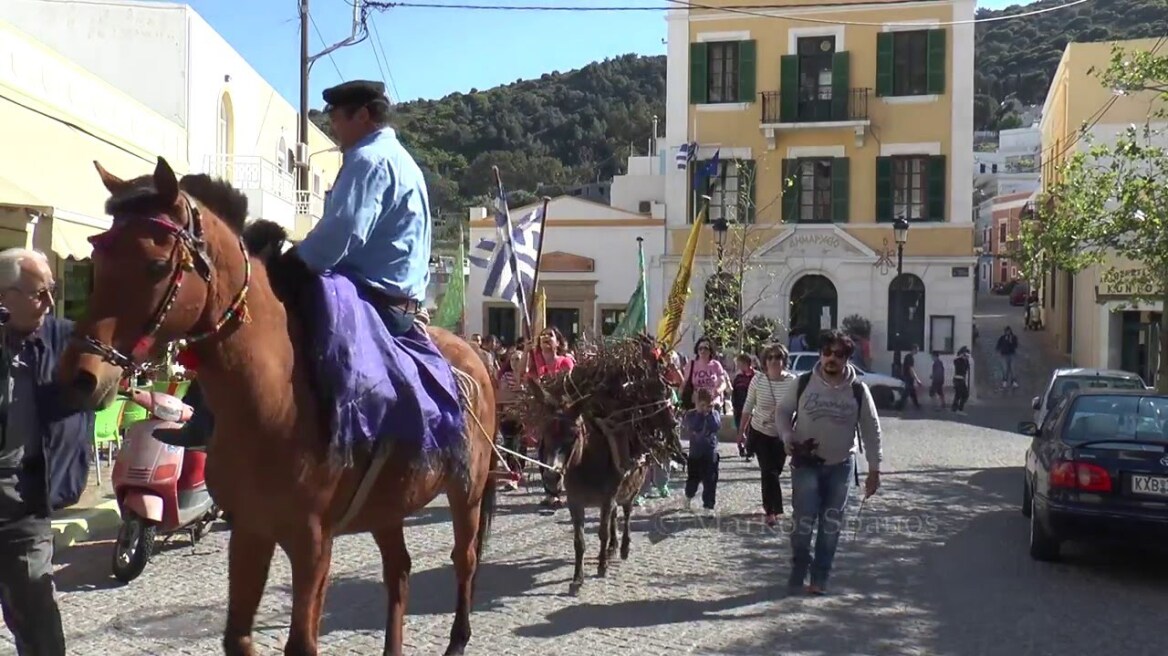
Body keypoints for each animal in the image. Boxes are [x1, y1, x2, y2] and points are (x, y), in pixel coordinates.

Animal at [56, 158, 495, 653]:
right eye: (96, 263)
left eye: (155, 266)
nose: (81, 377)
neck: (273, 402)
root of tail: (474, 358)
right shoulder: (251, 530)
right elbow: (236, 636)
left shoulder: (312, 542)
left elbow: (300, 642)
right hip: (388, 506)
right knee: (398, 570)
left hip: (466, 492)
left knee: (464, 558)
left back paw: (459, 638)